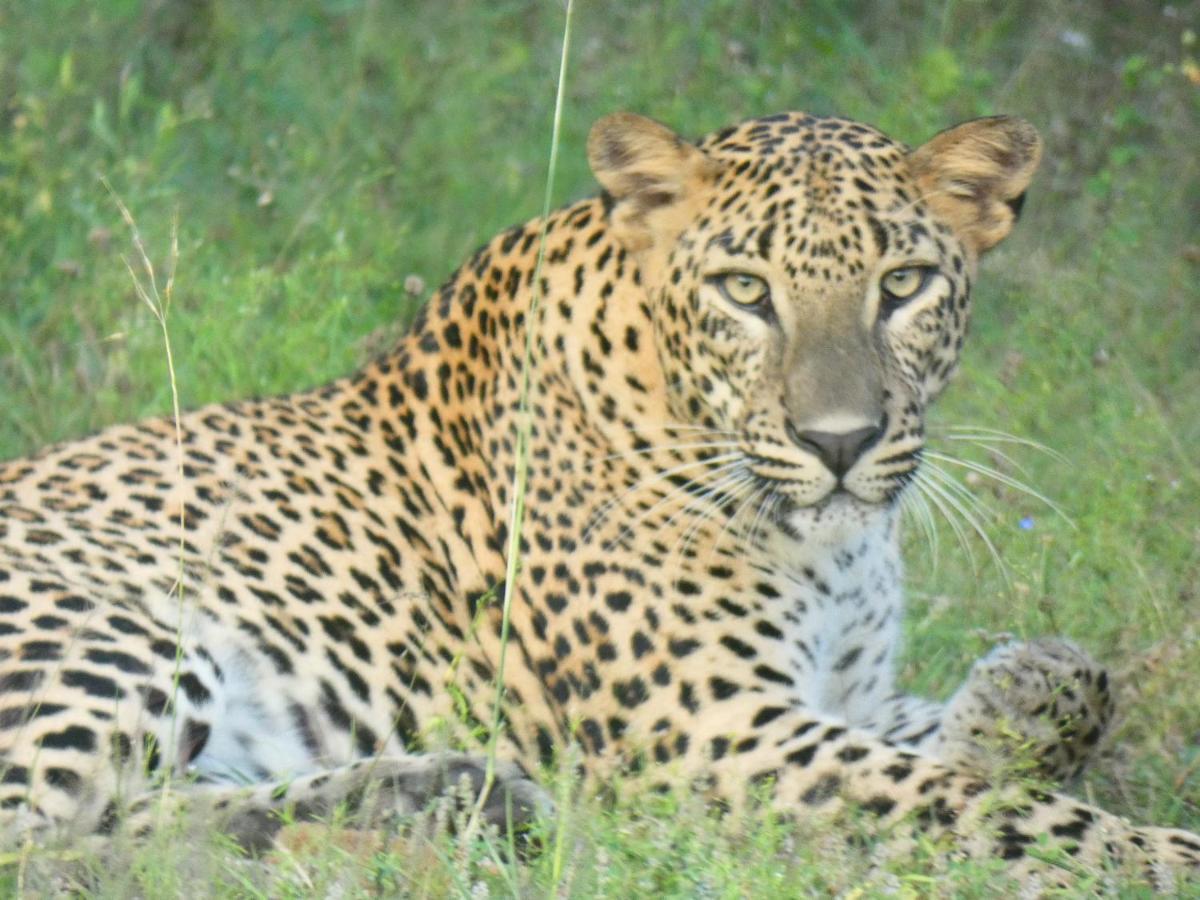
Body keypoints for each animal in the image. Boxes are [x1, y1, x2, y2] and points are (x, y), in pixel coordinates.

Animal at [0, 109, 1195, 892]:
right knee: (55, 846)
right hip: (116, 625)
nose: (840, 443)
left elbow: (1060, 699)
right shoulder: (715, 734)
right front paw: (1161, 853)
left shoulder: (839, 701)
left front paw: (1019, 694)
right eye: (745, 291)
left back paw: (447, 794)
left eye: (901, 286)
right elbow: (1006, 814)